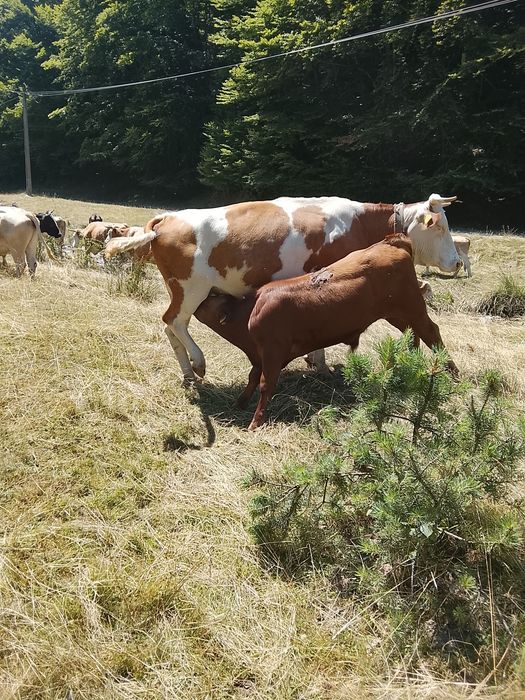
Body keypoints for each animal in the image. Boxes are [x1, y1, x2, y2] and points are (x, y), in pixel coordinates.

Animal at [105, 194, 460, 384]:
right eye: (440, 227)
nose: (457, 262)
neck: (359, 224)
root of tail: (166, 218)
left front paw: (317, 362)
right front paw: (319, 363)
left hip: (178, 289)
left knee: (170, 325)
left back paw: (189, 372)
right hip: (191, 287)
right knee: (175, 322)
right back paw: (199, 362)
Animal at [194, 235, 457, 428]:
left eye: (213, 298)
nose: (201, 297)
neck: (250, 312)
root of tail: (390, 242)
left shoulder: (272, 352)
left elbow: (265, 384)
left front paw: (255, 423)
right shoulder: (259, 355)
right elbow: (252, 378)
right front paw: (240, 402)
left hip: (413, 307)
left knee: (432, 333)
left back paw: (452, 372)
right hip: (396, 314)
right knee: (413, 334)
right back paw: (407, 362)